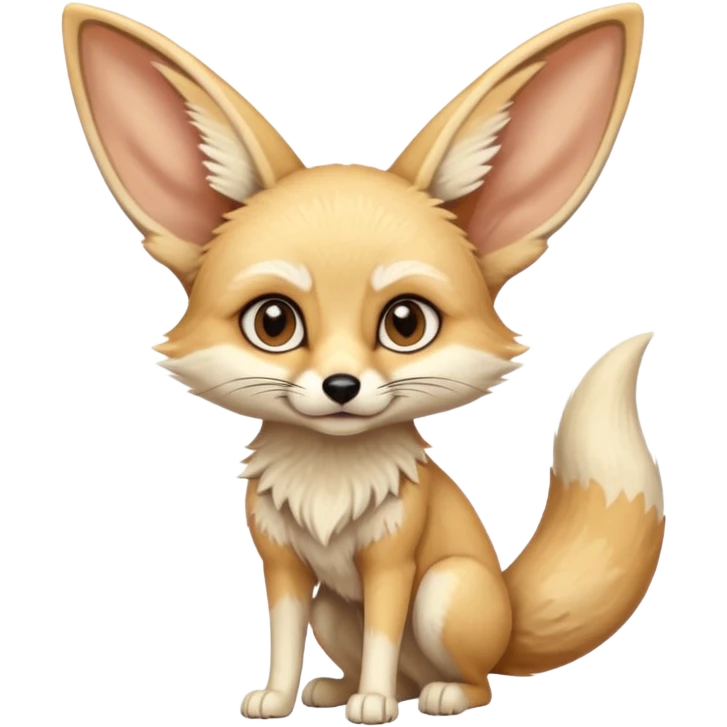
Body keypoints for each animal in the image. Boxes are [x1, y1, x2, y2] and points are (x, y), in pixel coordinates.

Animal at [61, 2, 664, 723]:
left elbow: (382, 633)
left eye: (405, 323)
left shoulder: (393, 562)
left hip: (444, 591)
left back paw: (429, 695)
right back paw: (339, 689)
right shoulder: (282, 564)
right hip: (334, 607)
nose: (341, 385)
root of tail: (509, 618)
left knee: (473, 680)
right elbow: (284, 638)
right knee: (390, 663)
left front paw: (371, 704)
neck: (328, 480)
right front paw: (276, 697)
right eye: (273, 323)